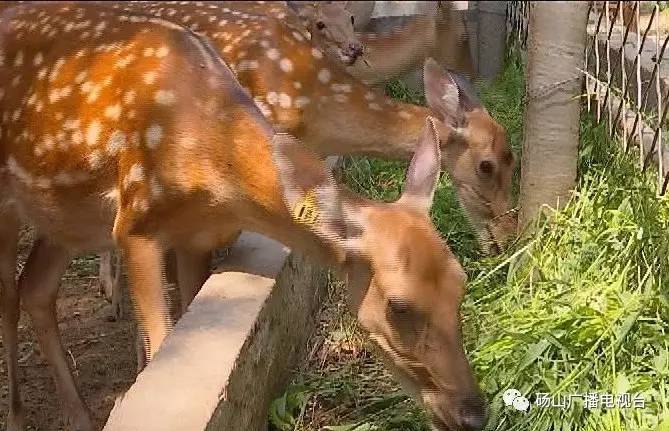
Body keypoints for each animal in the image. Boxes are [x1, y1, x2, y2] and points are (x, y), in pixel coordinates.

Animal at [0, 3, 490, 431]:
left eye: (461, 283)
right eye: (398, 306)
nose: (473, 414)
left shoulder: (196, 237)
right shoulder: (135, 221)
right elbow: (161, 345)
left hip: (64, 215)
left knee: (36, 287)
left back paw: (79, 416)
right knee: (10, 294)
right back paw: (18, 416)